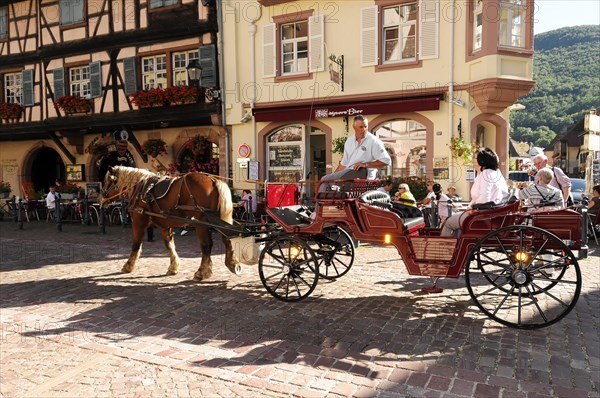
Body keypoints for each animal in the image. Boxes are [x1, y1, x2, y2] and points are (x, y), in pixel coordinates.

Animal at [99, 166, 240, 282]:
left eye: (107, 181)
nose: (100, 199)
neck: (140, 187)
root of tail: (213, 179)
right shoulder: (164, 225)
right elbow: (169, 245)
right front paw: (174, 266)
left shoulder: (139, 222)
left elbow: (136, 244)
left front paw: (128, 265)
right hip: (218, 220)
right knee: (227, 239)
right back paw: (233, 263)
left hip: (201, 223)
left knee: (206, 245)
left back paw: (201, 272)